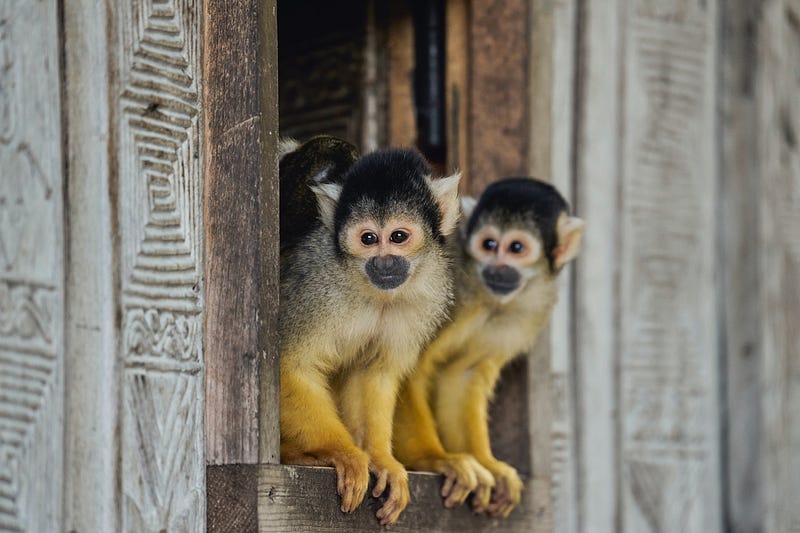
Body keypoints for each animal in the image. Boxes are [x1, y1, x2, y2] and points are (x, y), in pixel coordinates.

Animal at [278, 139, 460, 524]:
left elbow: (372, 372)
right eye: (369, 238)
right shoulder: (315, 283)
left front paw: (379, 460)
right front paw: (343, 452)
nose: (384, 262)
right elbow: (290, 366)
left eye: (398, 237)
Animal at [392, 178, 580, 516]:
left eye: (516, 248)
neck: (483, 296)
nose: (498, 268)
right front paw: (435, 458)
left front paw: (488, 464)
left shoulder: (525, 315)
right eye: (489, 245)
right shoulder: (443, 292)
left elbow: (462, 375)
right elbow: (407, 365)